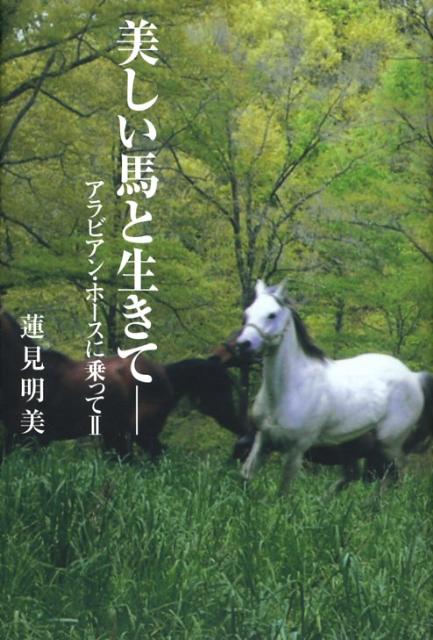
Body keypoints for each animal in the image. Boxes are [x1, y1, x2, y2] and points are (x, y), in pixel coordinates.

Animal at [236, 279, 433, 492]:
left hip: (390, 444)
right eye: (247, 313)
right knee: (356, 476)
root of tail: (414, 377)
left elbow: (284, 490)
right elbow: (246, 475)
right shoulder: (263, 438)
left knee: (393, 477)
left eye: (272, 314)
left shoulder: (296, 448)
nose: (243, 345)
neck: (288, 390)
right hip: (355, 444)